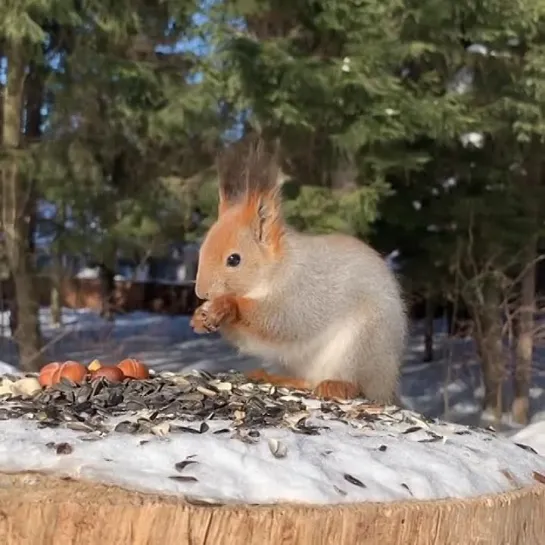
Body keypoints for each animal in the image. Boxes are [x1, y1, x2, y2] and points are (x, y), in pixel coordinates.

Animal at [189, 134, 406, 402]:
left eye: (234, 259)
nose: (201, 292)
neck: (275, 271)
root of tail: (387, 387)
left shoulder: (305, 291)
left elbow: (283, 321)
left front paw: (226, 306)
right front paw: (200, 316)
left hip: (364, 345)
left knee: (357, 384)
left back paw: (337, 386)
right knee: (306, 382)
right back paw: (272, 377)